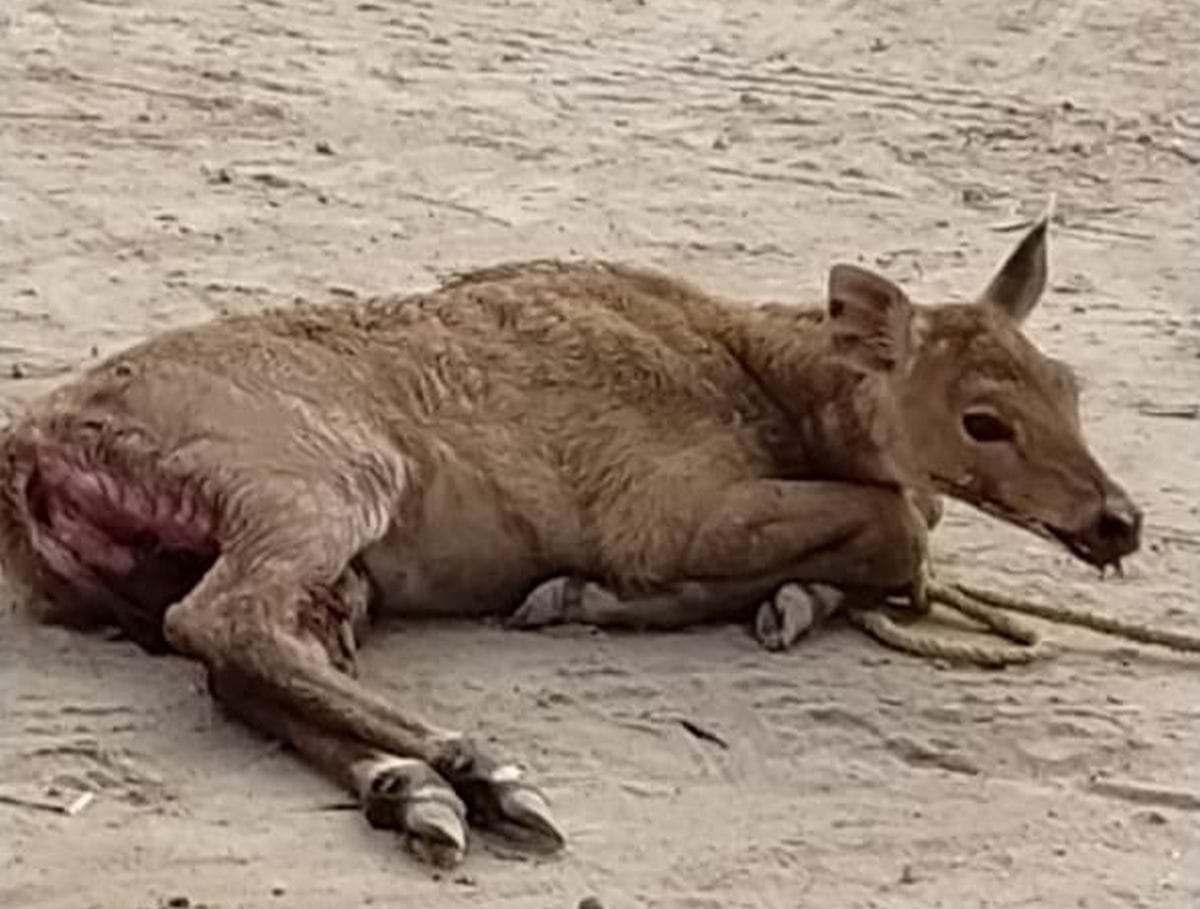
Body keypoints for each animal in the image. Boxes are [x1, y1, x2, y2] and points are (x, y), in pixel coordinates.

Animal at [0, 211, 1141, 865]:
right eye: (983, 418)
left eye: (1069, 383)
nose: (1118, 519)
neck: (775, 388)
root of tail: (35, 448)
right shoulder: (663, 505)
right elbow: (906, 521)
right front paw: (602, 596)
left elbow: (906, 521)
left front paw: (790, 598)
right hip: (319, 478)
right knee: (224, 623)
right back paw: (483, 767)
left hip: (316, 564)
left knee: (247, 662)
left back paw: (421, 795)